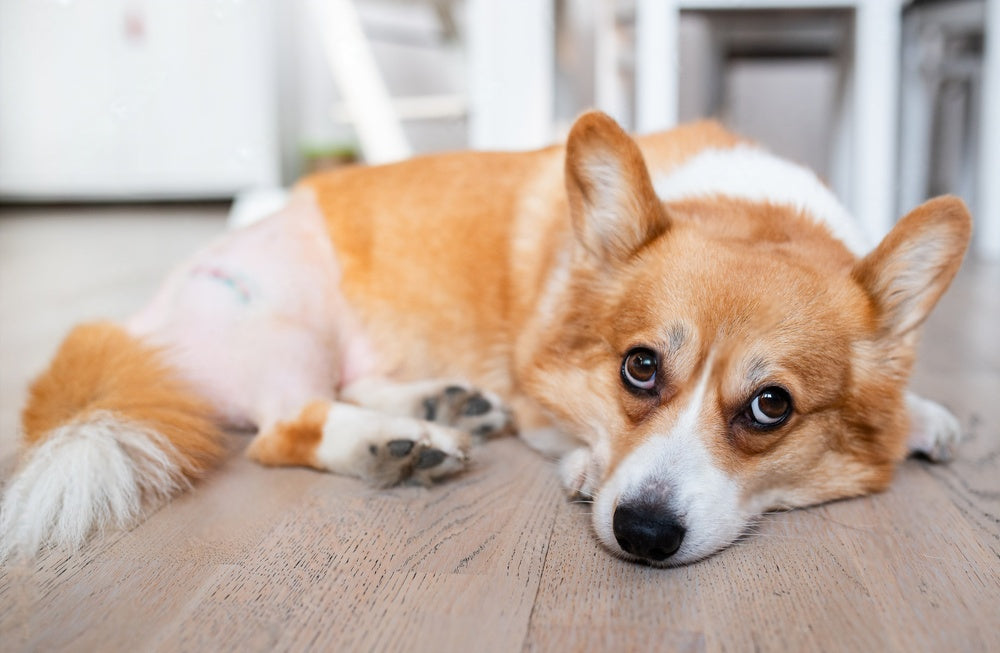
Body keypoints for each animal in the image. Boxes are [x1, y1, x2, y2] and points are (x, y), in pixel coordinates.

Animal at [0, 109, 968, 564]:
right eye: (640, 367)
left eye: (771, 406)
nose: (642, 531)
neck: (756, 209)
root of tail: (143, 319)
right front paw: (584, 465)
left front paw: (923, 416)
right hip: (287, 318)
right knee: (288, 424)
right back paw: (399, 441)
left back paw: (444, 403)